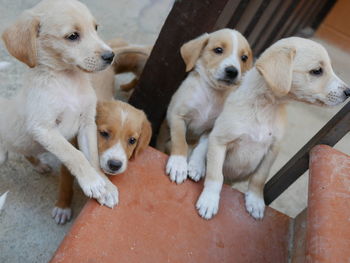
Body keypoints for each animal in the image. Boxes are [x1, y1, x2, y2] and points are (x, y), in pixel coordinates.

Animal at [157, 28, 253, 185]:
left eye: (244, 57)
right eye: (218, 50)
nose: (232, 71)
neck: (212, 94)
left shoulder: (213, 129)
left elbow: (202, 148)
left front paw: (196, 166)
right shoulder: (177, 115)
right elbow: (180, 141)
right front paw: (178, 165)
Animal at [197, 37, 350, 222]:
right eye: (317, 71)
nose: (349, 92)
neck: (266, 107)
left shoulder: (272, 149)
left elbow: (259, 178)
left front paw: (255, 201)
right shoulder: (220, 141)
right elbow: (215, 175)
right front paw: (209, 200)